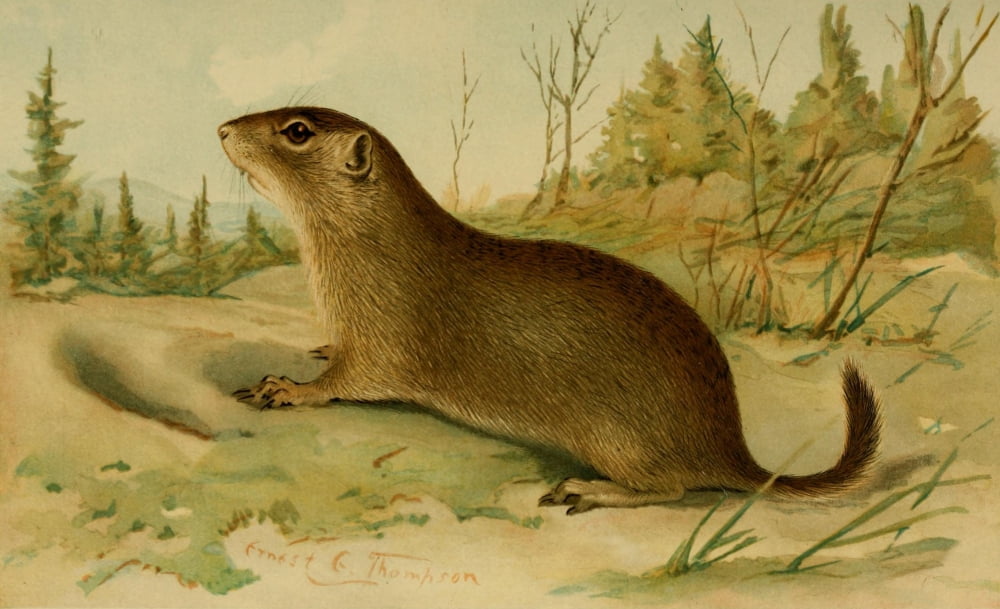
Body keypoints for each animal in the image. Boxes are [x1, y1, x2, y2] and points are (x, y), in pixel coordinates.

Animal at [218, 106, 881, 514]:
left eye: (296, 130)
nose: (223, 128)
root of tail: (731, 447)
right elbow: (340, 356)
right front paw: (319, 346)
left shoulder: (389, 335)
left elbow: (352, 381)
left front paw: (285, 387)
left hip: (618, 438)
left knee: (671, 487)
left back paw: (584, 490)